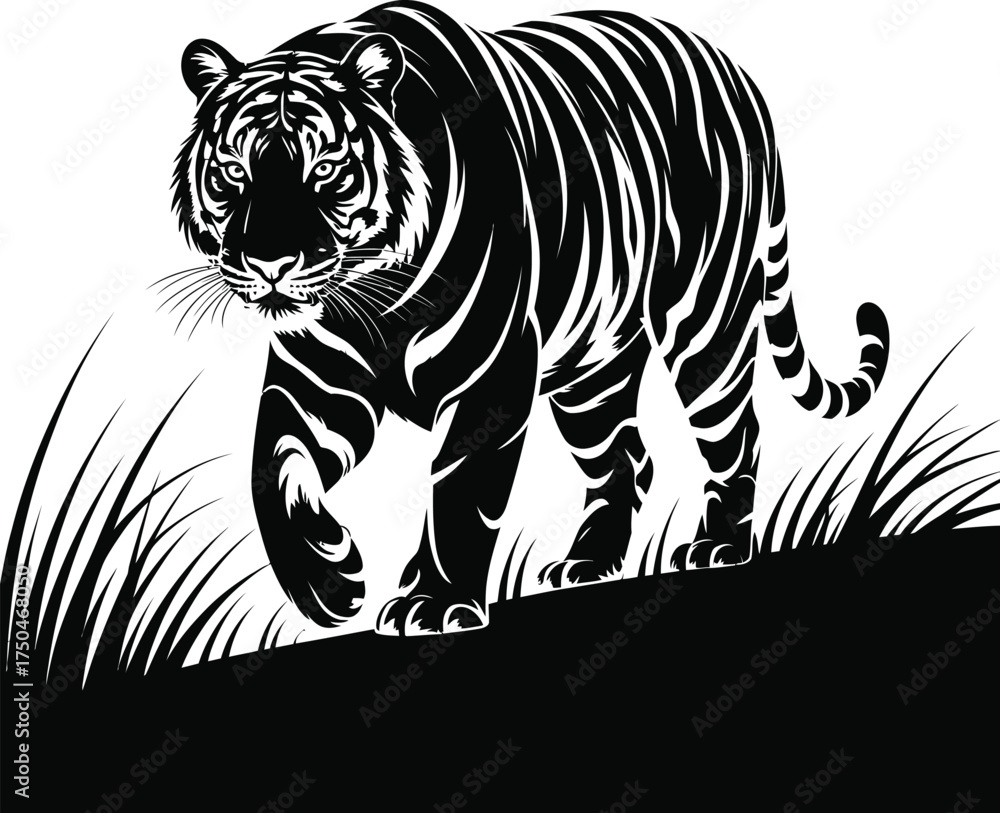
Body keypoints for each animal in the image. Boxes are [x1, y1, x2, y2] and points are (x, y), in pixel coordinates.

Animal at [170, 1, 889, 635]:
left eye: (326, 169)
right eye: (231, 170)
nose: (269, 260)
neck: (373, 303)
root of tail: (738, 73)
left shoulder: (489, 377)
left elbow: (460, 492)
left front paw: (433, 603)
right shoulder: (313, 384)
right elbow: (273, 472)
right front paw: (331, 582)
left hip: (703, 322)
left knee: (736, 433)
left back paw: (718, 545)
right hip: (591, 370)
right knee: (626, 457)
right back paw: (588, 562)